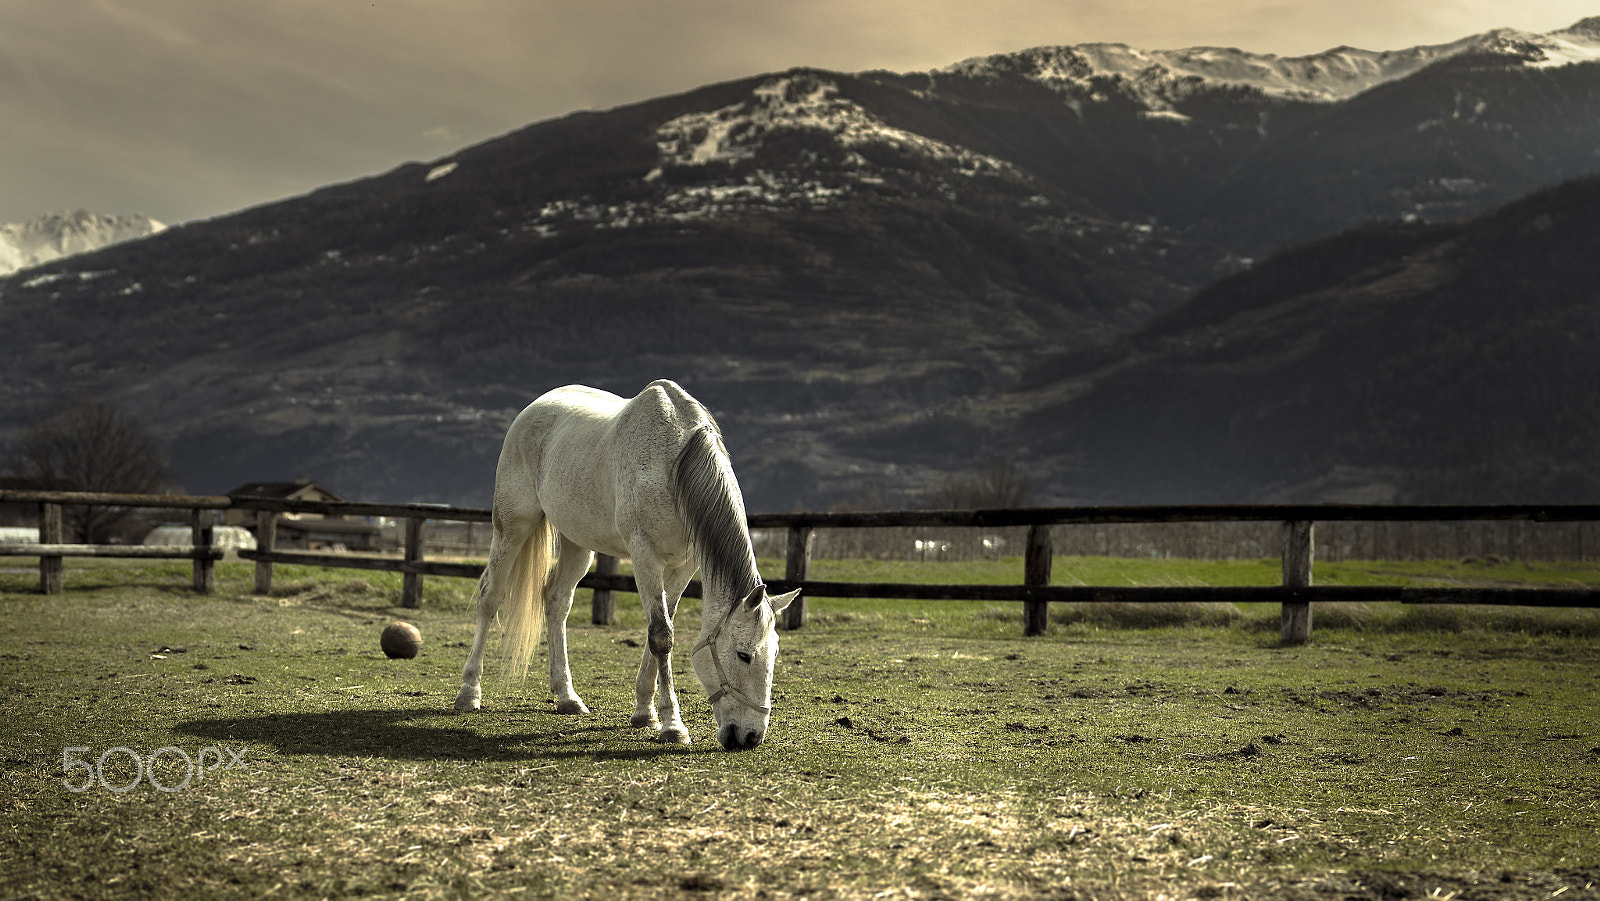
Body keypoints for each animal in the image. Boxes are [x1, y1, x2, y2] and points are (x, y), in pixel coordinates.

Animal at [454, 377, 796, 752]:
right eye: (743, 655)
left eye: (775, 654)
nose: (750, 737)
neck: (673, 467)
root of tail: (532, 410)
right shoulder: (644, 554)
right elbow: (661, 634)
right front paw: (672, 725)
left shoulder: (683, 565)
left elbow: (660, 628)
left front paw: (645, 712)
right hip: (512, 527)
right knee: (490, 599)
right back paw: (469, 693)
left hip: (577, 543)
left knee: (556, 603)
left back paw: (567, 697)